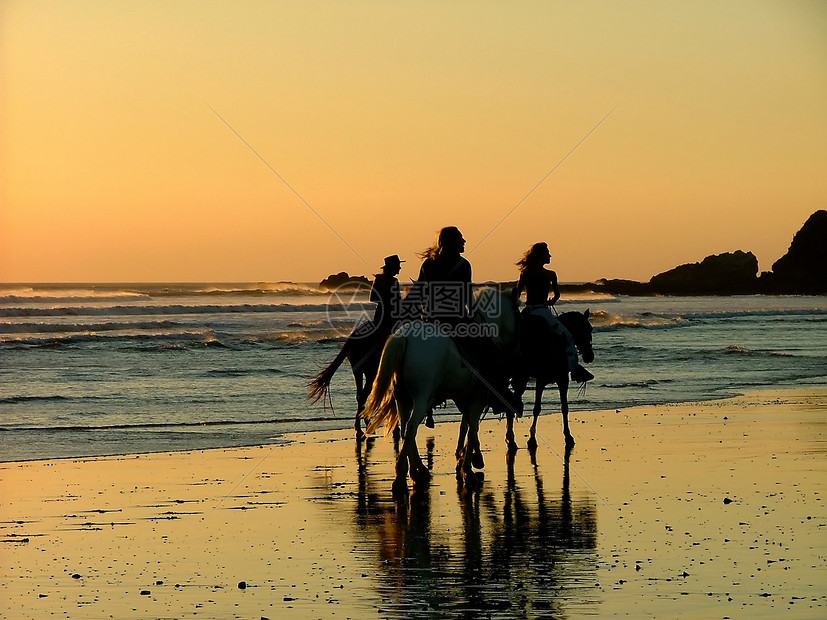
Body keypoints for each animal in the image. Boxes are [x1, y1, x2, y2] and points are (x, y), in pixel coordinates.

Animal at [362, 288, 516, 492]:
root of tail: (406, 337)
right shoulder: (477, 399)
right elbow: (472, 428)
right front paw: (469, 468)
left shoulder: (463, 398)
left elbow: (466, 426)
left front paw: (468, 460)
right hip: (421, 398)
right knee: (411, 428)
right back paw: (403, 475)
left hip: (402, 399)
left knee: (405, 430)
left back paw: (416, 470)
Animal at [504, 308, 596, 450]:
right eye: (582, 328)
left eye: (590, 328)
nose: (589, 356)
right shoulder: (541, 380)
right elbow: (537, 408)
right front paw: (532, 439)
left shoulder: (563, 380)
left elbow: (565, 407)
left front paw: (568, 436)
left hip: (521, 379)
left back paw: (511, 439)